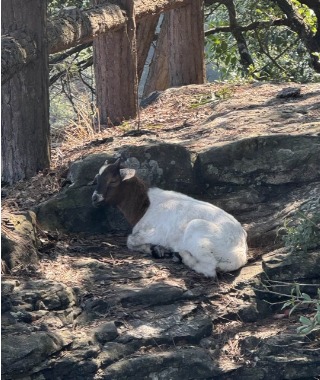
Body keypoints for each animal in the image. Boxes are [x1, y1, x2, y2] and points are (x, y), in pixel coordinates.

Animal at [91, 157, 249, 276]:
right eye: (97, 179)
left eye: (113, 180)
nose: (95, 198)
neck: (145, 206)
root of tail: (239, 253)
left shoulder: (153, 233)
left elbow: (130, 240)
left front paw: (154, 249)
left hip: (197, 231)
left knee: (209, 268)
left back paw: (181, 255)